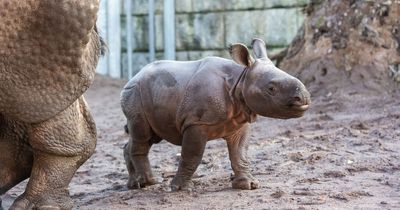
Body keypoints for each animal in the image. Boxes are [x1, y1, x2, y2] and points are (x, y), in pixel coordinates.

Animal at [120, 38, 310, 191]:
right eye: (271, 89)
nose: (304, 98)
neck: (240, 79)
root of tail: (134, 76)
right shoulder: (196, 122)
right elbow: (192, 155)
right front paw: (181, 188)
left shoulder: (239, 122)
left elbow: (240, 153)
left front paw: (248, 185)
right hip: (135, 93)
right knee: (142, 135)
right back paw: (149, 182)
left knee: (149, 136)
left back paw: (135, 184)